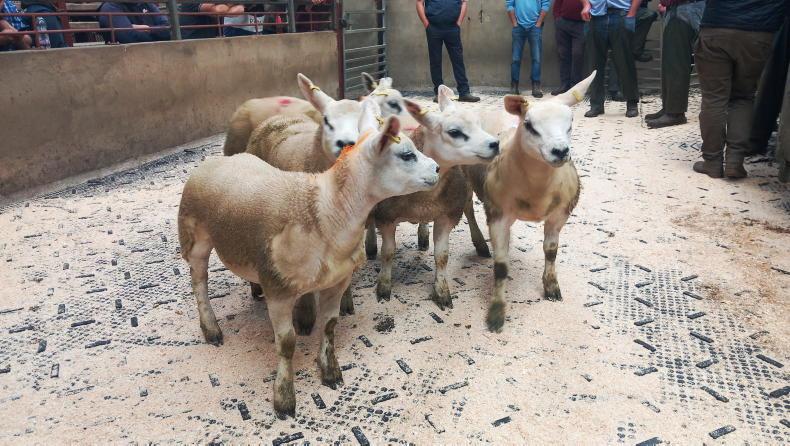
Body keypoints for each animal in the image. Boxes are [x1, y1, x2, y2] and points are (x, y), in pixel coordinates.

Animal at [178, 99, 440, 418]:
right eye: (406, 155)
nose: (438, 168)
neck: (326, 209)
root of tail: (214, 161)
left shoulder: (337, 281)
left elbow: (329, 325)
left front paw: (330, 373)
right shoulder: (279, 289)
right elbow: (287, 343)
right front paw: (284, 398)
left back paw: (253, 289)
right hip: (194, 235)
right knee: (199, 281)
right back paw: (211, 328)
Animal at [369, 85, 500, 309]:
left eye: (478, 124)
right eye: (454, 132)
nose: (495, 144)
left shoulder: (447, 215)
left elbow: (442, 256)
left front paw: (442, 292)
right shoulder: (386, 216)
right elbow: (388, 252)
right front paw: (384, 287)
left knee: (469, 210)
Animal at [463, 72, 596, 332]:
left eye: (570, 123)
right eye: (530, 125)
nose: (560, 151)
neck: (537, 189)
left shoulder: (559, 215)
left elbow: (551, 251)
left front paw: (551, 287)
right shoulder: (498, 215)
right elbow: (501, 266)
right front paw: (496, 313)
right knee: (467, 210)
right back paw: (480, 244)